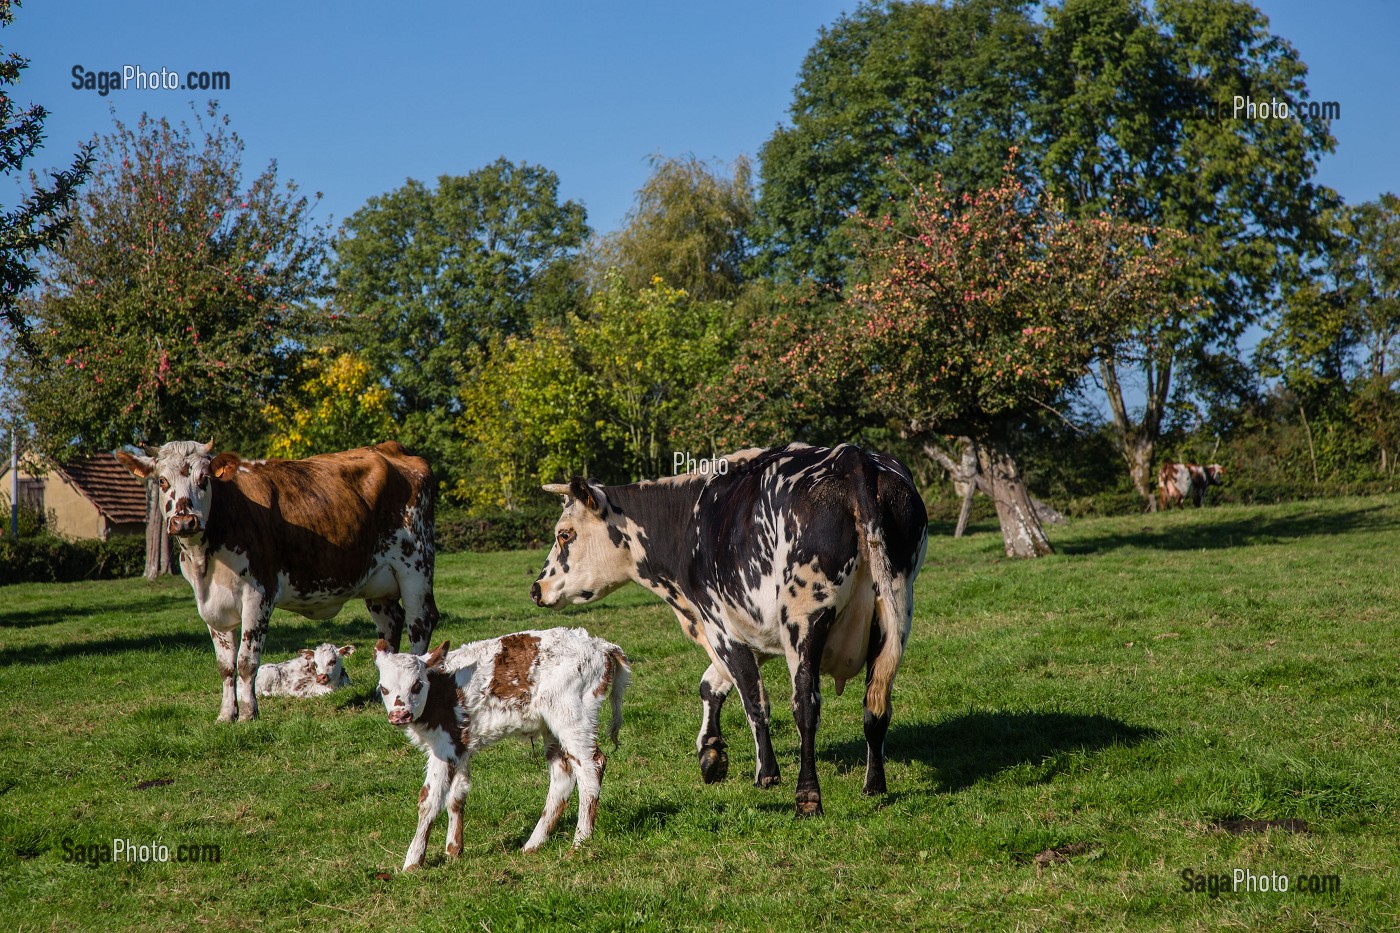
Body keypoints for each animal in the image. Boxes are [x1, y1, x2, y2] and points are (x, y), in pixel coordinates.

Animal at [116, 440, 439, 722]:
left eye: (204, 478)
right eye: (162, 481)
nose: (185, 520)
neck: (204, 560)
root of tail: (390, 448)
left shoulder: (259, 595)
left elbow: (246, 661)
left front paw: (249, 714)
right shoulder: (211, 606)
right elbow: (225, 666)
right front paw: (226, 715)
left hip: (415, 566)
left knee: (420, 623)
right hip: (377, 581)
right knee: (390, 624)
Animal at [373, 628, 630, 870]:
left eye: (417, 685)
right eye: (383, 689)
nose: (399, 715)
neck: (440, 691)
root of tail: (599, 645)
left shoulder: (444, 745)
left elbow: (430, 799)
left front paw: (413, 861)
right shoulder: (461, 746)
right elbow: (457, 795)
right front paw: (453, 851)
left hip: (572, 717)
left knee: (590, 768)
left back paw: (579, 843)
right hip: (550, 726)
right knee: (563, 774)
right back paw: (533, 844)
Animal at [530, 443, 928, 818]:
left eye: (565, 534)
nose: (536, 589)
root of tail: (852, 458)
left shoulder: (720, 624)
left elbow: (752, 699)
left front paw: (766, 772)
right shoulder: (754, 630)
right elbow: (712, 684)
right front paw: (711, 752)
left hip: (805, 615)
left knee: (806, 705)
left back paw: (807, 796)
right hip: (894, 611)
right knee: (876, 702)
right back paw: (874, 784)